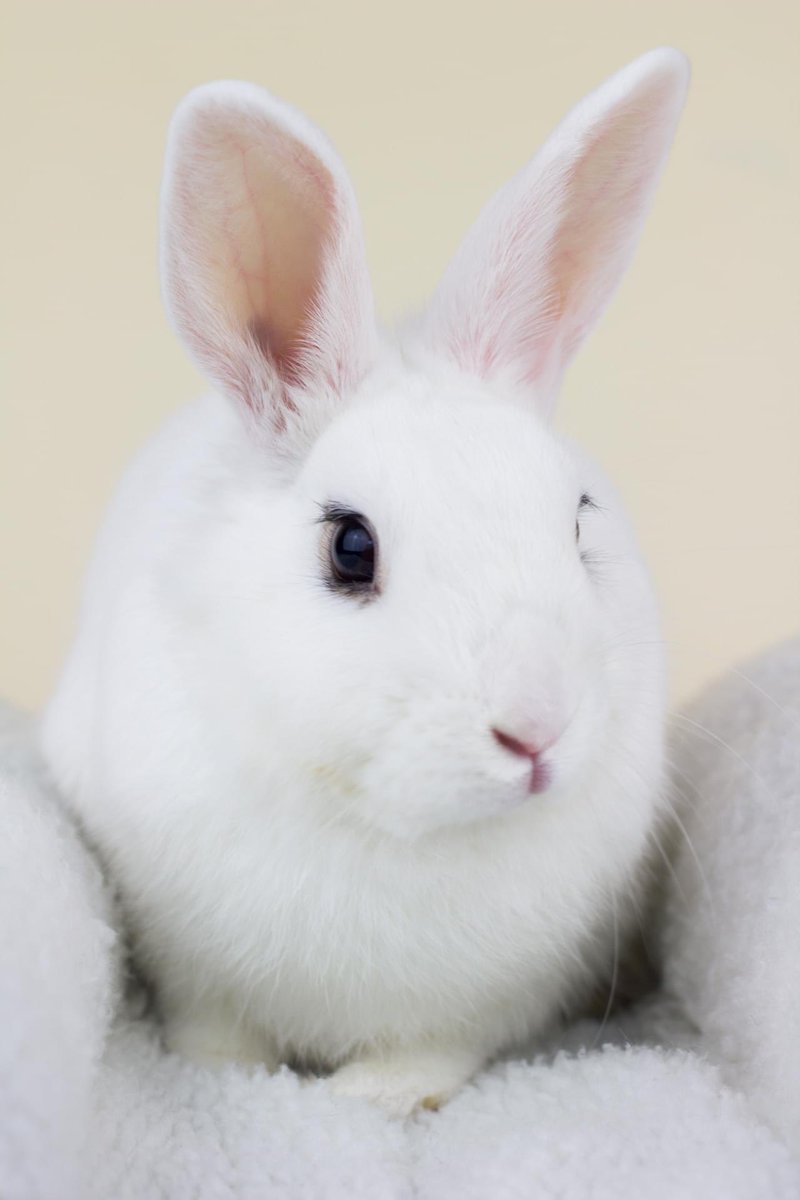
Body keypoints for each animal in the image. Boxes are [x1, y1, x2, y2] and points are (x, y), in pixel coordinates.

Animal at [40, 48, 689, 1117]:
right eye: (351, 548)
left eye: (578, 521)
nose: (537, 729)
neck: (392, 826)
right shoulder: (188, 964)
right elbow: (214, 1035)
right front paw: (239, 1082)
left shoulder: (484, 1006)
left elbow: (426, 1055)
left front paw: (368, 1100)